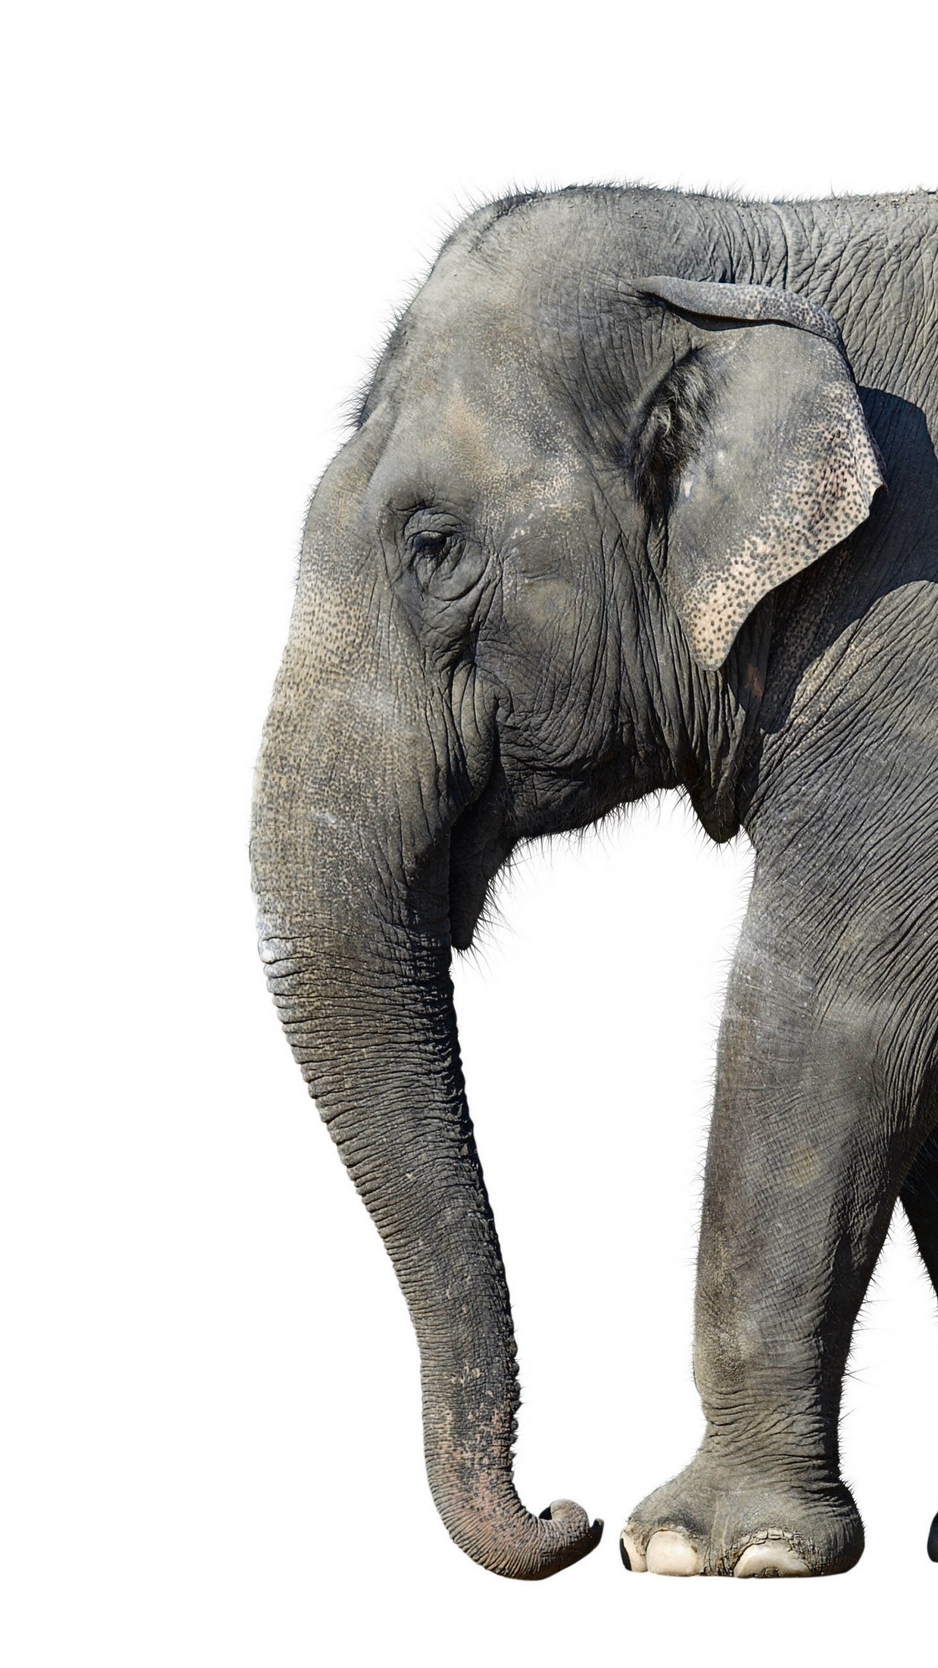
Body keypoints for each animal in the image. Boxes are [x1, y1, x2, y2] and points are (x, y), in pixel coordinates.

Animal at [251, 184, 938, 1579]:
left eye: (433, 544)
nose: (564, 1515)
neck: (757, 239)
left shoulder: (909, 650)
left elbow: (831, 1018)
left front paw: (702, 1553)